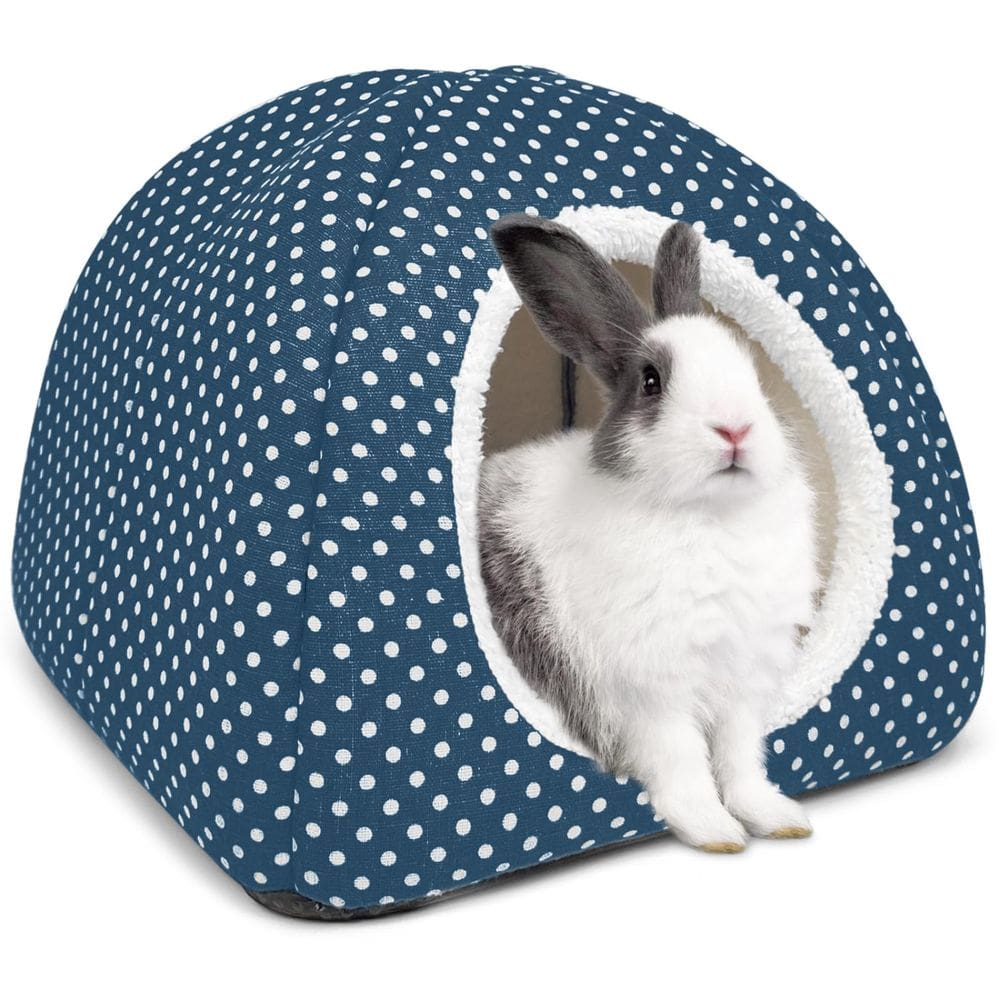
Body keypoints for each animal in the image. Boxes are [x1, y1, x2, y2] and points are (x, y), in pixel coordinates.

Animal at [478, 214, 821, 853]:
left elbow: (741, 759)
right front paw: (715, 832)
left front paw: (778, 818)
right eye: (652, 382)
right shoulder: (650, 691)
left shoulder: (743, 683)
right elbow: (682, 760)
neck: (709, 516)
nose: (735, 429)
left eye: (752, 371)